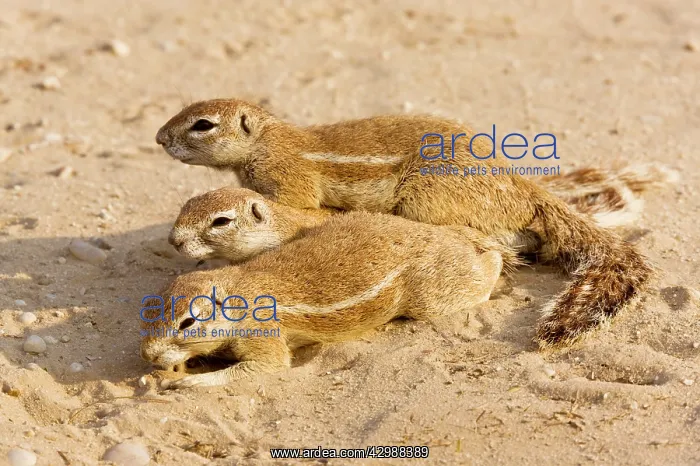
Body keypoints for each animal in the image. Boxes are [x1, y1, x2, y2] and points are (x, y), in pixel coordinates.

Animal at [141, 211, 507, 388]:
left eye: (188, 322)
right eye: (148, 311)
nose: (146, 355)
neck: (239, 290)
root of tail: (440, 233)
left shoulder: (264, 336)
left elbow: (264, 366)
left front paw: (187, 382)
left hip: (431, 296)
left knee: (486, 268)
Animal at [156, 99, 657, 347]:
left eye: (202, 124)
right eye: (185, 209)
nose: (159, 137)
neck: (269, 137)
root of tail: (523, 188)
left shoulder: (288, 179)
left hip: (429, 202)